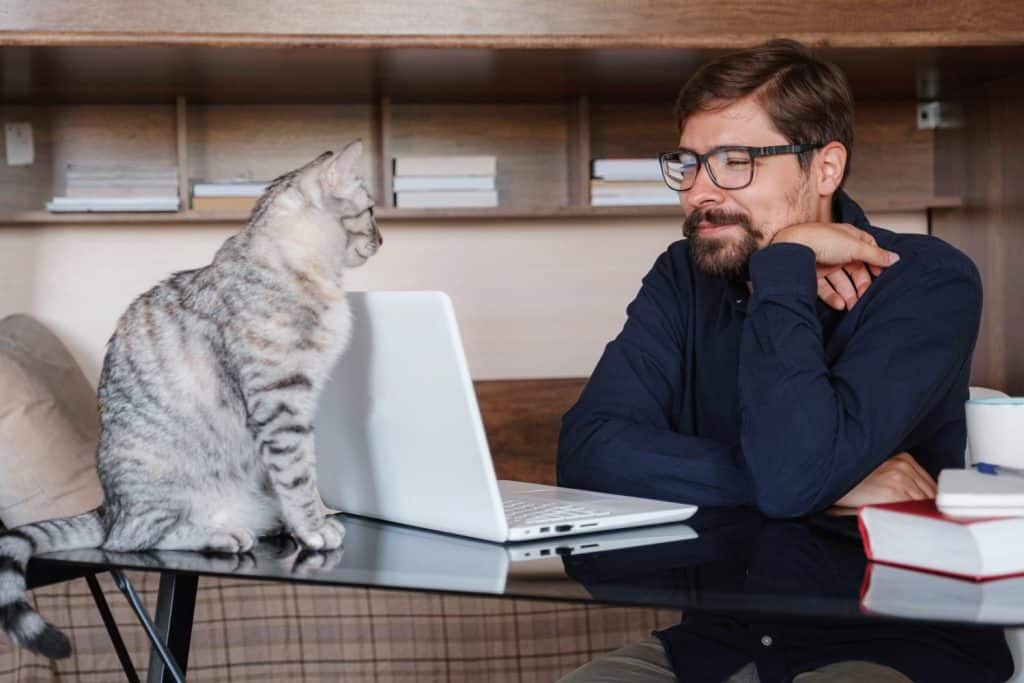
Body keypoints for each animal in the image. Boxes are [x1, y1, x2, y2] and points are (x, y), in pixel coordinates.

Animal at [0, 137, 382, 655]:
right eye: (371, 210)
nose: (382, 239)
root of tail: (107, 506)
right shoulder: (281, 403)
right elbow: (299, 474)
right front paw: (314, 525)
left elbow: (303, 474)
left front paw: (315, 515)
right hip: (157, 489)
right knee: (130, 540)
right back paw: (222, 536)